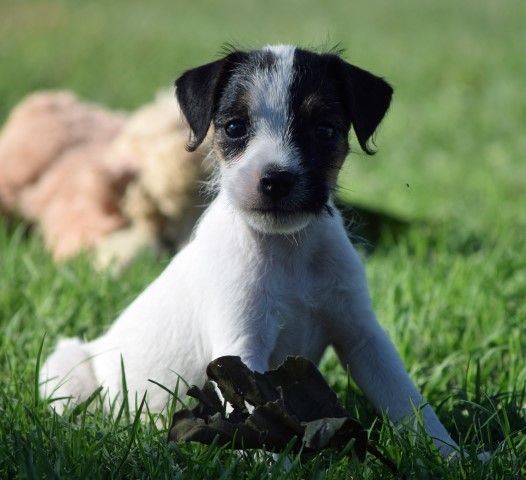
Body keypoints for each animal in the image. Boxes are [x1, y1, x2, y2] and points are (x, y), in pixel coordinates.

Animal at [41, 45, 466, 458]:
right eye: (234, 127)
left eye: (324, 130)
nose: (276, 179)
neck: (287, 250)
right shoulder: (241, 350)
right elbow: (255, 421)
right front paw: (274, 464)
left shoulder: (361, 335)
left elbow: (407, 400)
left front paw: (448, 455)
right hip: (65, 369)